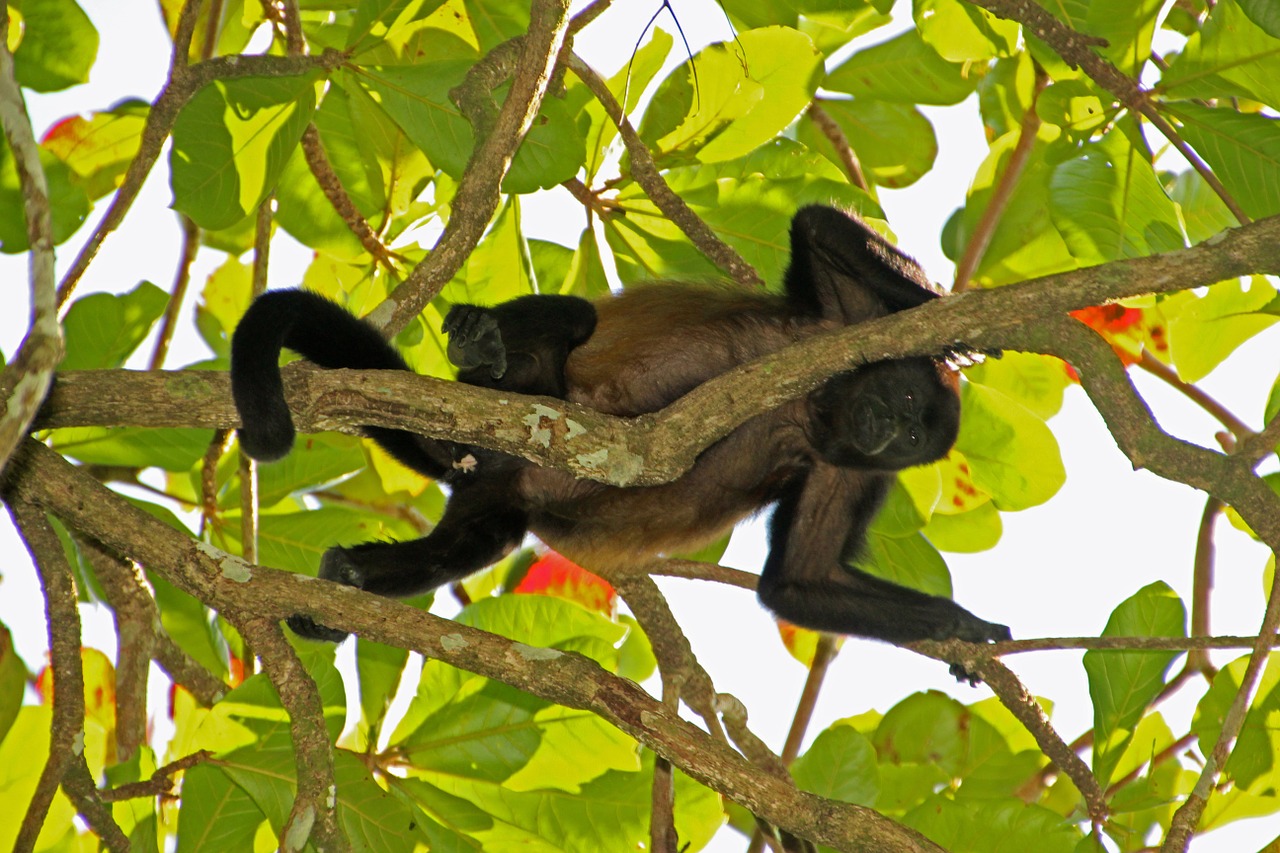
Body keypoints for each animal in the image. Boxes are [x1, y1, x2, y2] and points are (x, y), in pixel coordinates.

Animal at [230, 206, 1008, 650]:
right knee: (571, 321)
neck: (817, 407)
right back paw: (486, 347)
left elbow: (799, 580)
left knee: (478, 541)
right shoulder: (844, 325)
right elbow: (817, 225)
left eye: (913, 441)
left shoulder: (847, 470)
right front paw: (956, 332)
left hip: (496, 493)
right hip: (515, 400)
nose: (888, 429)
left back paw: (348, 574)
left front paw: (959, 624)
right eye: (903, 400)